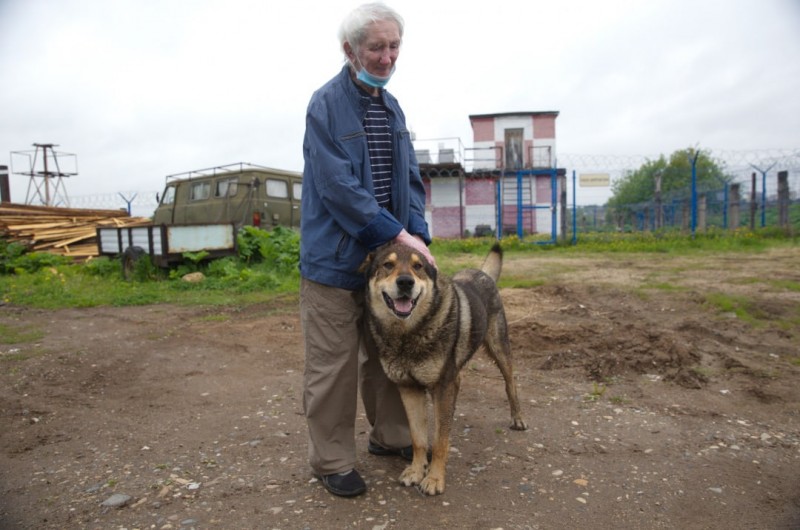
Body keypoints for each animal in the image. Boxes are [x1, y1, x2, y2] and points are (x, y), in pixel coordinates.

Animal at [360, 241, 524, 492]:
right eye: (388, 264)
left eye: (418, 266)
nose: (405, 282)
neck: (407, 334)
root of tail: (482, 273)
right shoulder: (409, 389)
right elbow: (418, 439)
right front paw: (416, 471)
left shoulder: (443, 388)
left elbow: (439, 441)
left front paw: (435, 479)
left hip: (499, 348)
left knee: (510, 383)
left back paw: (517, 418)